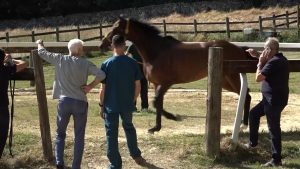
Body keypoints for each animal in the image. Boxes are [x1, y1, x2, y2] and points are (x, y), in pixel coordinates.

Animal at [99, 17, 253, 133]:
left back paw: (244, 125)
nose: (103, 45)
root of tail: (240, 48)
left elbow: (156, 102)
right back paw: (242, 124)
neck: (156, 51)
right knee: (245, 94)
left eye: (116, 28)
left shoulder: (166, 83)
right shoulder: (156, 84)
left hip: (232, 77)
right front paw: (156, 128)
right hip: (225, 81)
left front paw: (173, 117)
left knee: (247, 95)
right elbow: (158, 104)